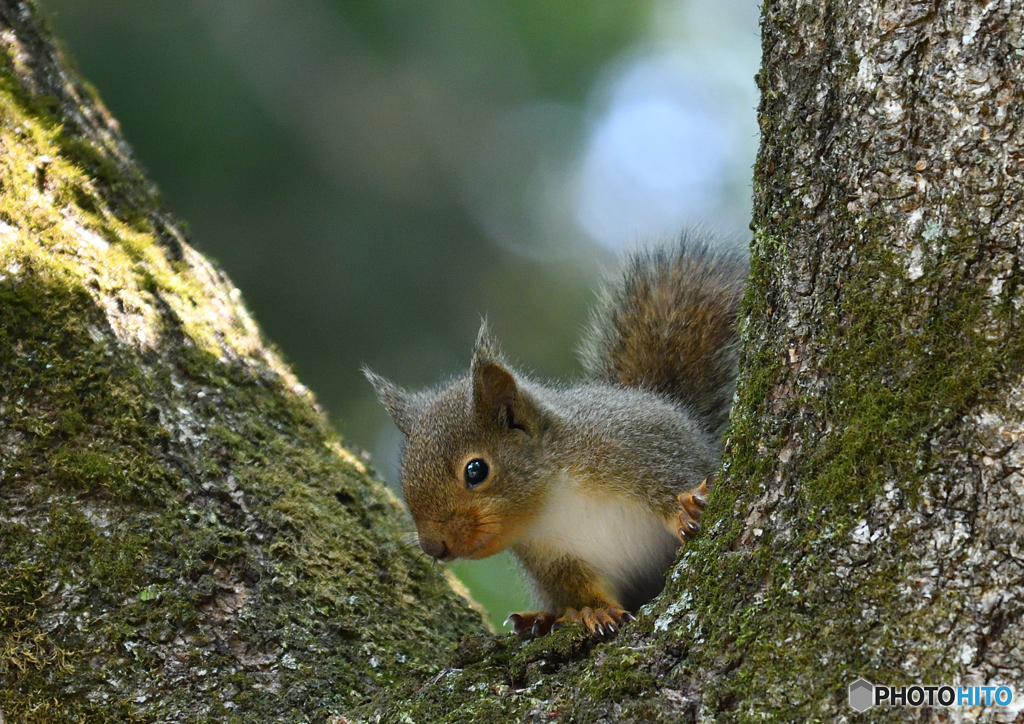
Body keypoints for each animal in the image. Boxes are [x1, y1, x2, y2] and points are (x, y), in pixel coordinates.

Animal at [364, 235, 749, 639]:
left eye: (475, 471)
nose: (433, 548)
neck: (555, 495)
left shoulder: (641, 447)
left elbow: (670, 482)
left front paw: (684, 506)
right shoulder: (552, 557)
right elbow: (577, 586)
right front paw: (595, 610)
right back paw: (543, 618)